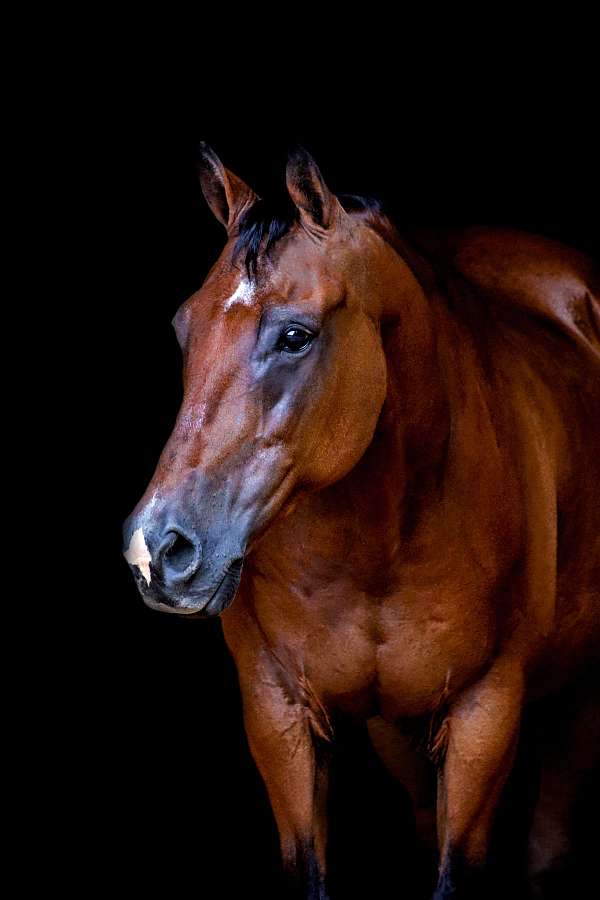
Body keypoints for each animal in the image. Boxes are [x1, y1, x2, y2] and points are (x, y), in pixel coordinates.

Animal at [123, 143, 600, 899]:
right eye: (182, 328)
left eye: (296, 335)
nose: (157, 550)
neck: (378, 547)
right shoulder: (278, 714)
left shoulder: (486, 714)